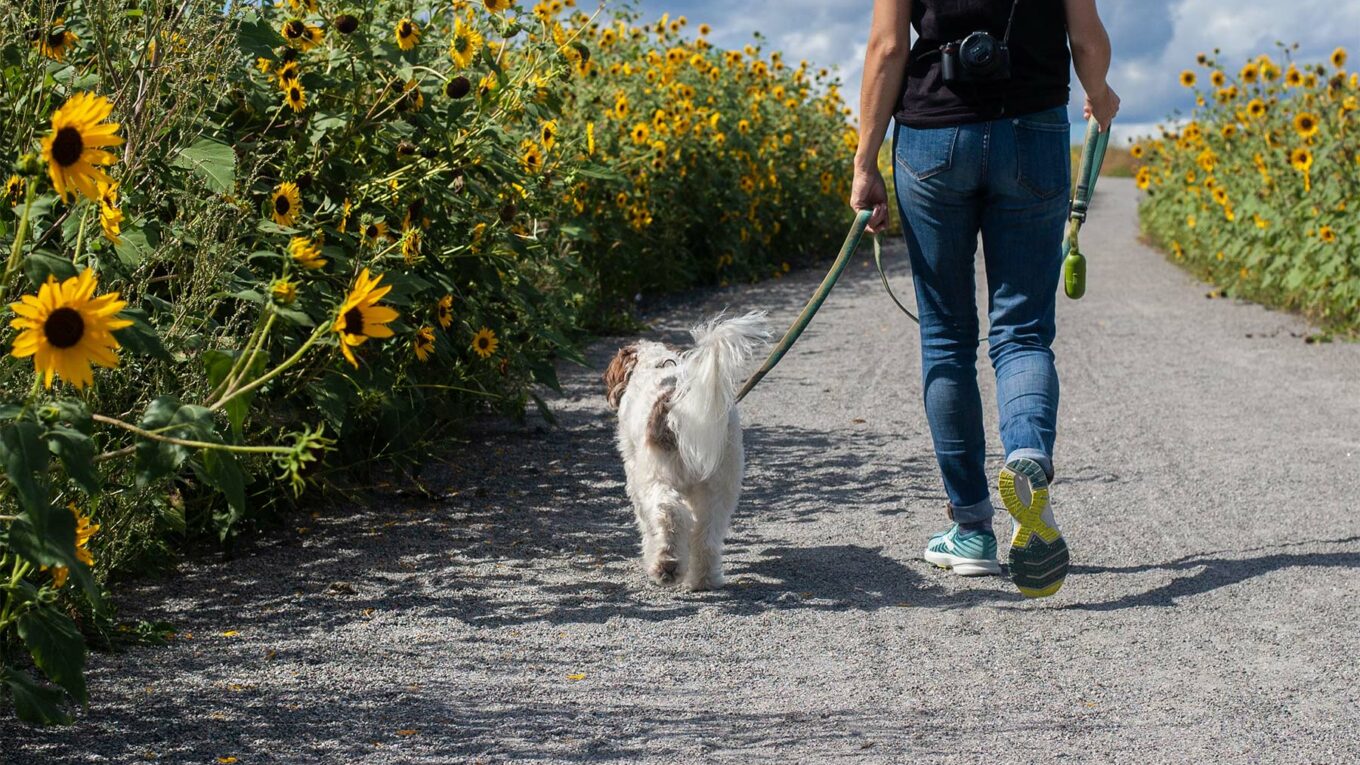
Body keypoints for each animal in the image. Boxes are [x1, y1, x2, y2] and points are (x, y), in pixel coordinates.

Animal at [603, 311, 772, 590]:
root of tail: (677, 403)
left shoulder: (636, 476)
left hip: (657, 478)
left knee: (669, 514)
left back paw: (666, 565)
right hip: (720, 484)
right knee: (707, 535)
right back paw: (704, 579)